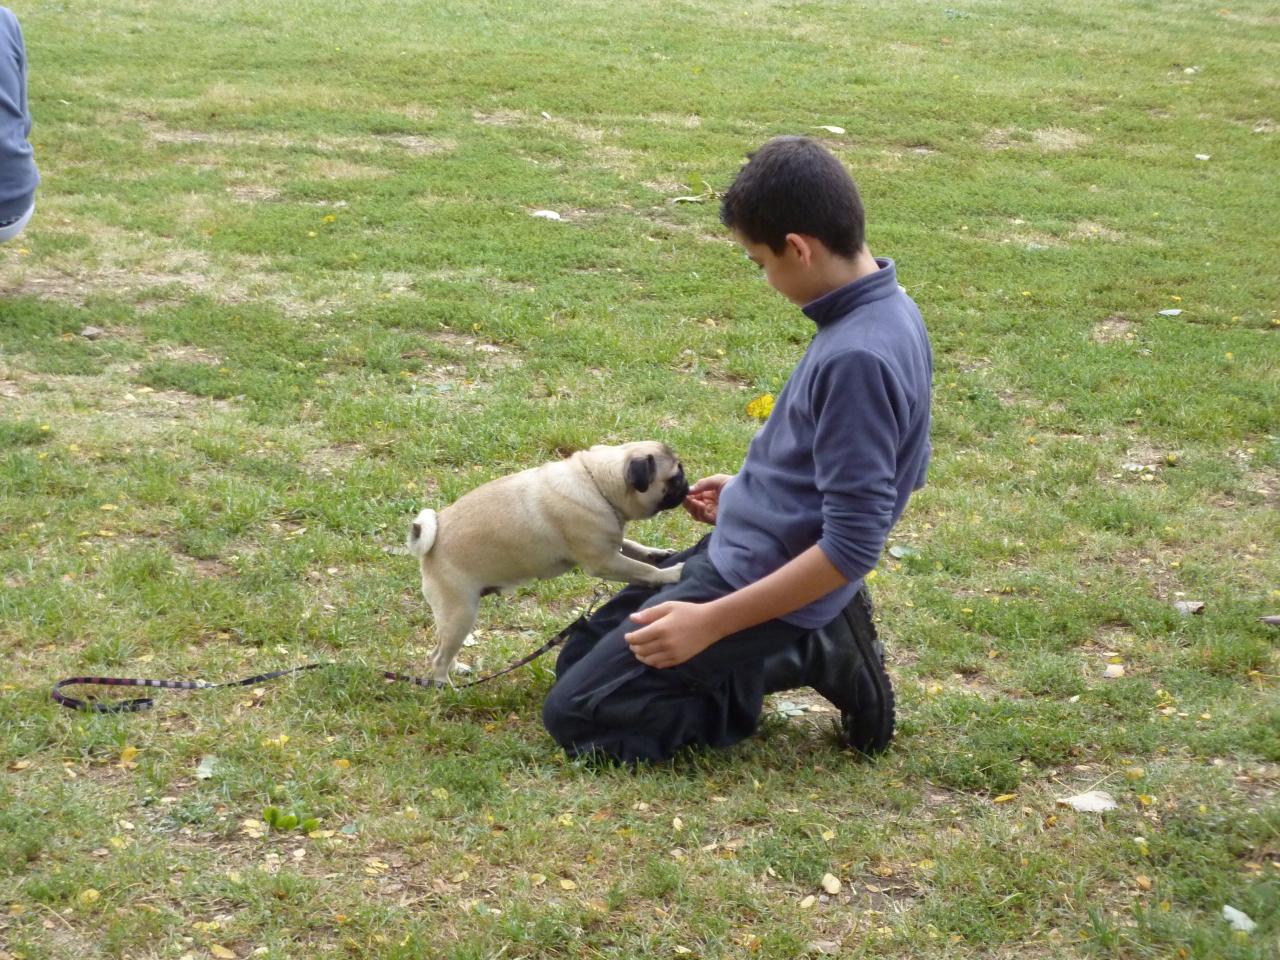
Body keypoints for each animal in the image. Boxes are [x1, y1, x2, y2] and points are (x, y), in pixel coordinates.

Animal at [409, 440, 691, 686]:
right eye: (675, 477)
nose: (687, 486)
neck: (597, 483)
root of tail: (430, 546)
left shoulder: (612, 546)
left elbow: (633, 547)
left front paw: (656, 553)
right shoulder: (604, 561)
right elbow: (643, 570)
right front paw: (670, 573)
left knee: (441, 650)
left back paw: (457, 669)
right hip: (460, 612)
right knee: (438, 657)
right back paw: (446, 687)